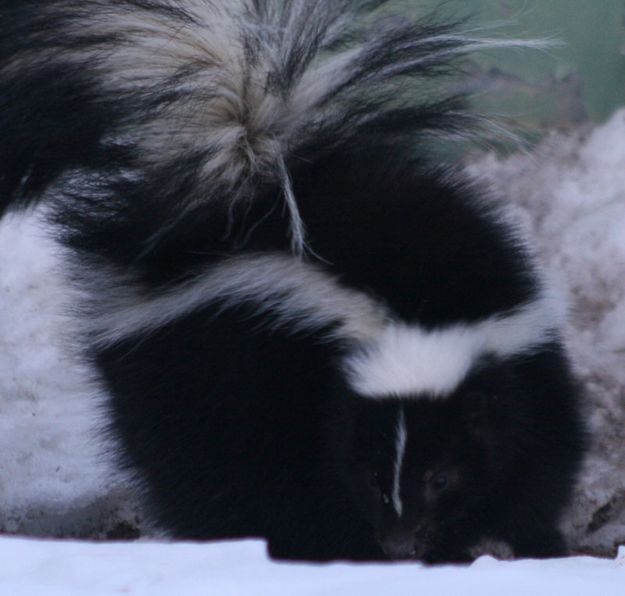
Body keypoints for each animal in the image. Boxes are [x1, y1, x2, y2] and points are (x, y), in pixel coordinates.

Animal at [0, 0, 584, 560]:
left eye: (441, 477)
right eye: (373, 475)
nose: (399, 542)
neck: (407, 314)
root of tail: (241, 182)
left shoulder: (518, 352)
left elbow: (535, 458)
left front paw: (531, 541)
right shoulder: (302, 389)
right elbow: (319, 482)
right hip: (181, 378)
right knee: (197, 471)